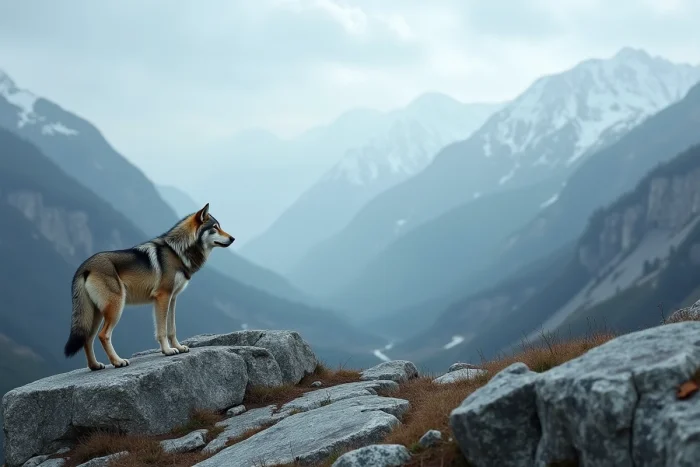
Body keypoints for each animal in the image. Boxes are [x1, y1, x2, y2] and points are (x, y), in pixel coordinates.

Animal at [63, 203, 234, 370]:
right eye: (215, 227)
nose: (233, 238)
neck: (177, 251)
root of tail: (84, 267)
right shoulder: (163, 297)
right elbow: (162, 330)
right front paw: (168, 351)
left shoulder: (172, 298)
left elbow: (172, 329)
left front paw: (179, 347)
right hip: (115, 308)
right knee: (103, 335)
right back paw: (118, 361)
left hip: (96, 314)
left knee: (87, 339)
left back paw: (95, 366)